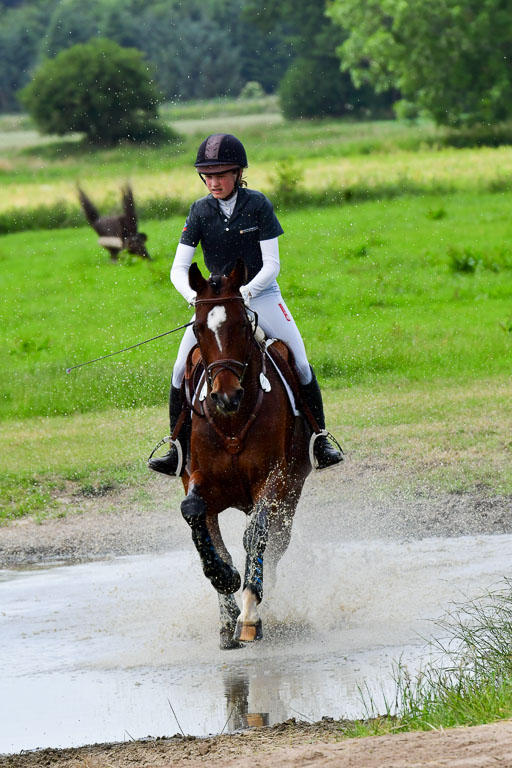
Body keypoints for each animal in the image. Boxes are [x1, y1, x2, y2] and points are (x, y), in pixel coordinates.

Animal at [179, 259, 312, 649]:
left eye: (241, 323)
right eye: (197, 327)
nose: (226, 396)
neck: (232, 420)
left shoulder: (273, 478)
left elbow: (256, 535)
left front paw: (251, 613)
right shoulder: (198, 480)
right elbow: (196, 518)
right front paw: (225, 579)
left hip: (291, 491)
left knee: (276, 543)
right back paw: (226, 618)